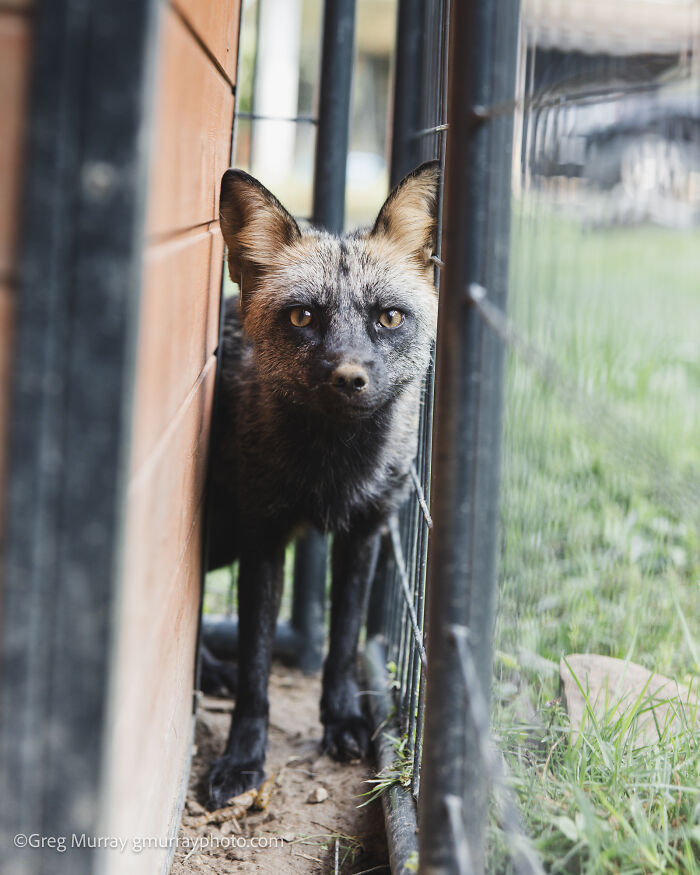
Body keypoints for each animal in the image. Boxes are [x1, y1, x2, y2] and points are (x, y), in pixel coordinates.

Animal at [205, 161, 441, 808]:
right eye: (302, 317)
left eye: (389, 317)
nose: (349, 378)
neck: (331, 475)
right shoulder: (262, 539)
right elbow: (257, 668)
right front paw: (242, 759)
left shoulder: (365, 531)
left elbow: (341, 644)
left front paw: (343, 722)